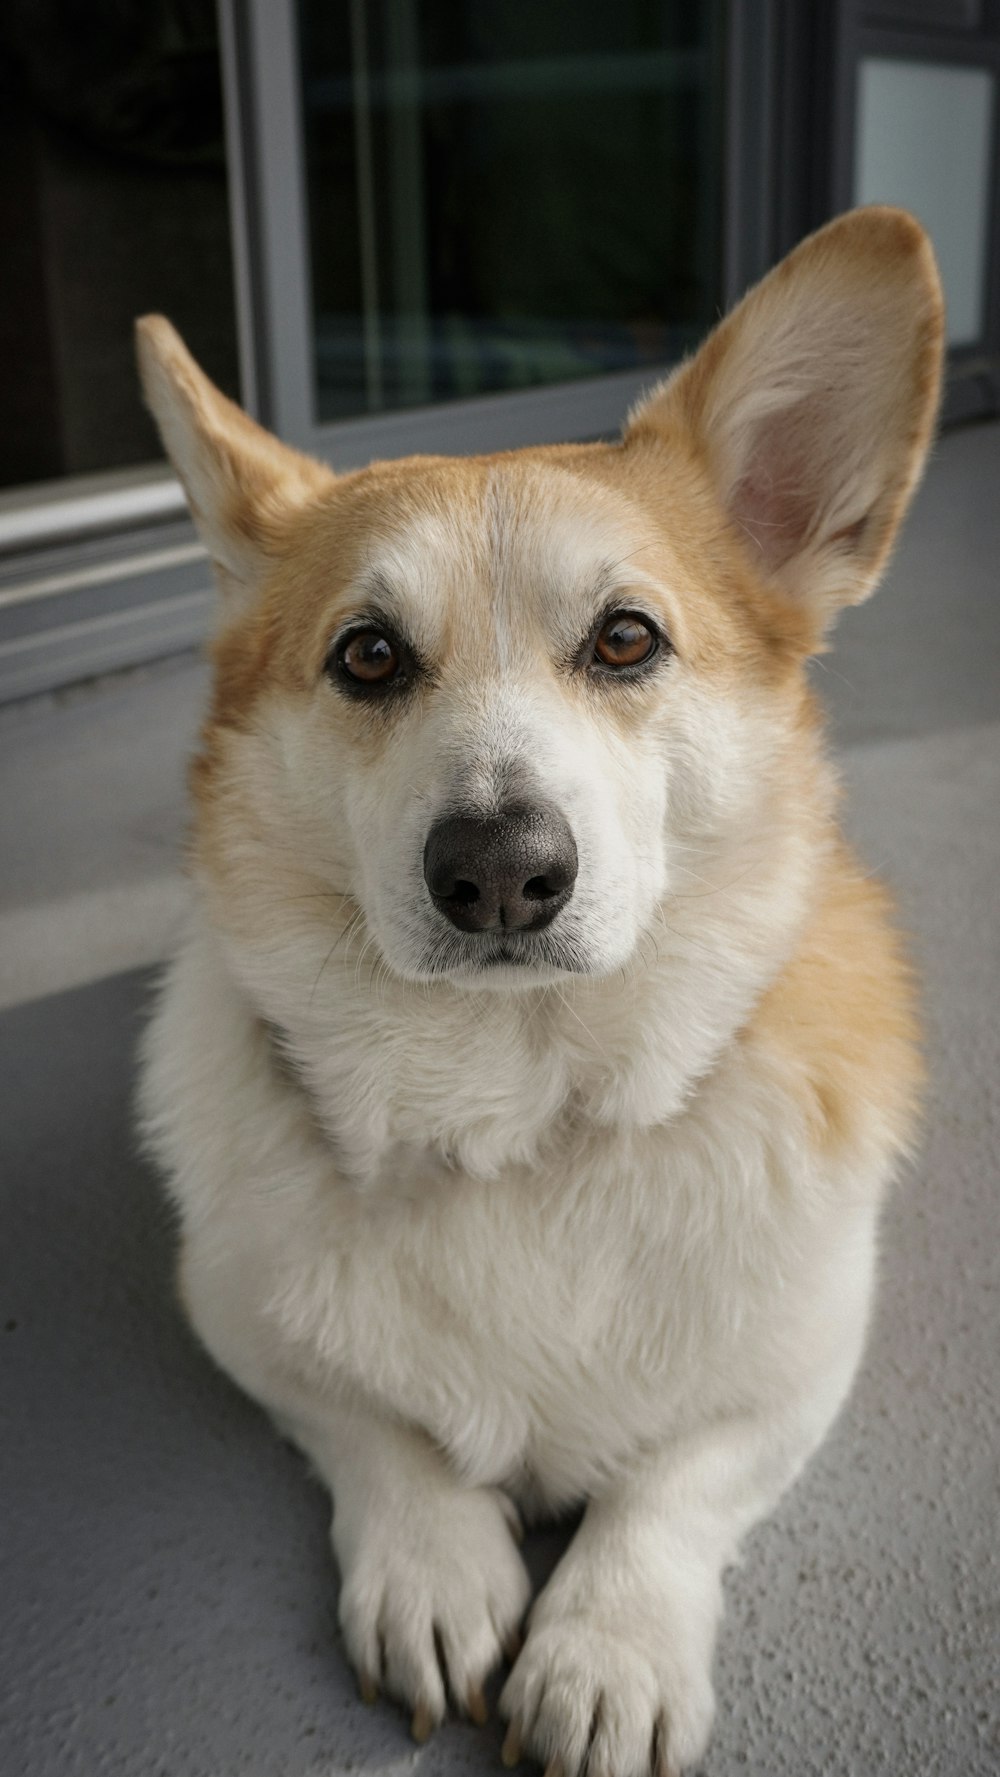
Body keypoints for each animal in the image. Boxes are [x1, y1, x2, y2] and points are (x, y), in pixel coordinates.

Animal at [136, 211, 944, 1777]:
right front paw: (437, 1570)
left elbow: (670, 1489)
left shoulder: (799, 1364)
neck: (519, 1107)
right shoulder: (239, 1316)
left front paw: (605, 1649)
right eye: (368, 654)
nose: (503, 869)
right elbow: (372, 1429)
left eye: (627, 639)